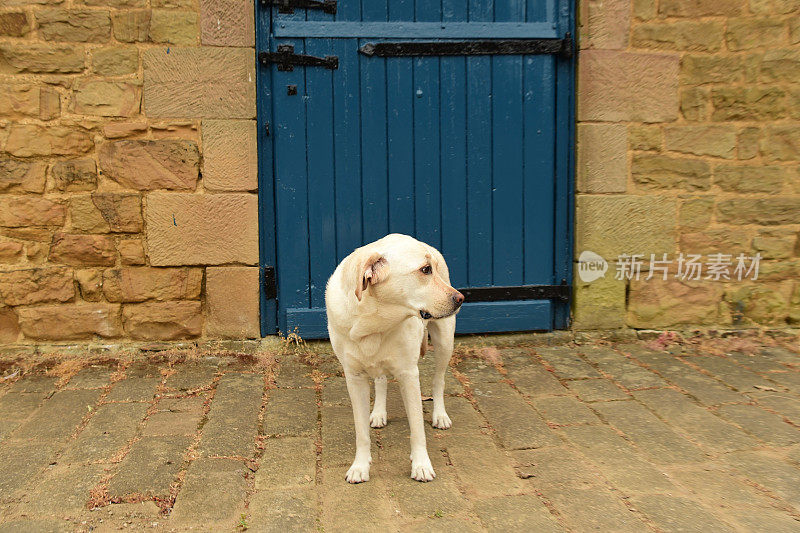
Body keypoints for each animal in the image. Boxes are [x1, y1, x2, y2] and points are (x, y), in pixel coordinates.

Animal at [324, 233, 462, 482]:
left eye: (433, 269)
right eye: (425, 270)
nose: (461, 298)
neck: (374, 320)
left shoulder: (409, 375)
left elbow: (417, 428)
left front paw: (421, 465)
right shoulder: (354, 378)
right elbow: (361, 432)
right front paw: (360, 466)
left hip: (445, 339)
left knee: (439, 380)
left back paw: (440, 415)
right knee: (380, 380)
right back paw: (379, 412)